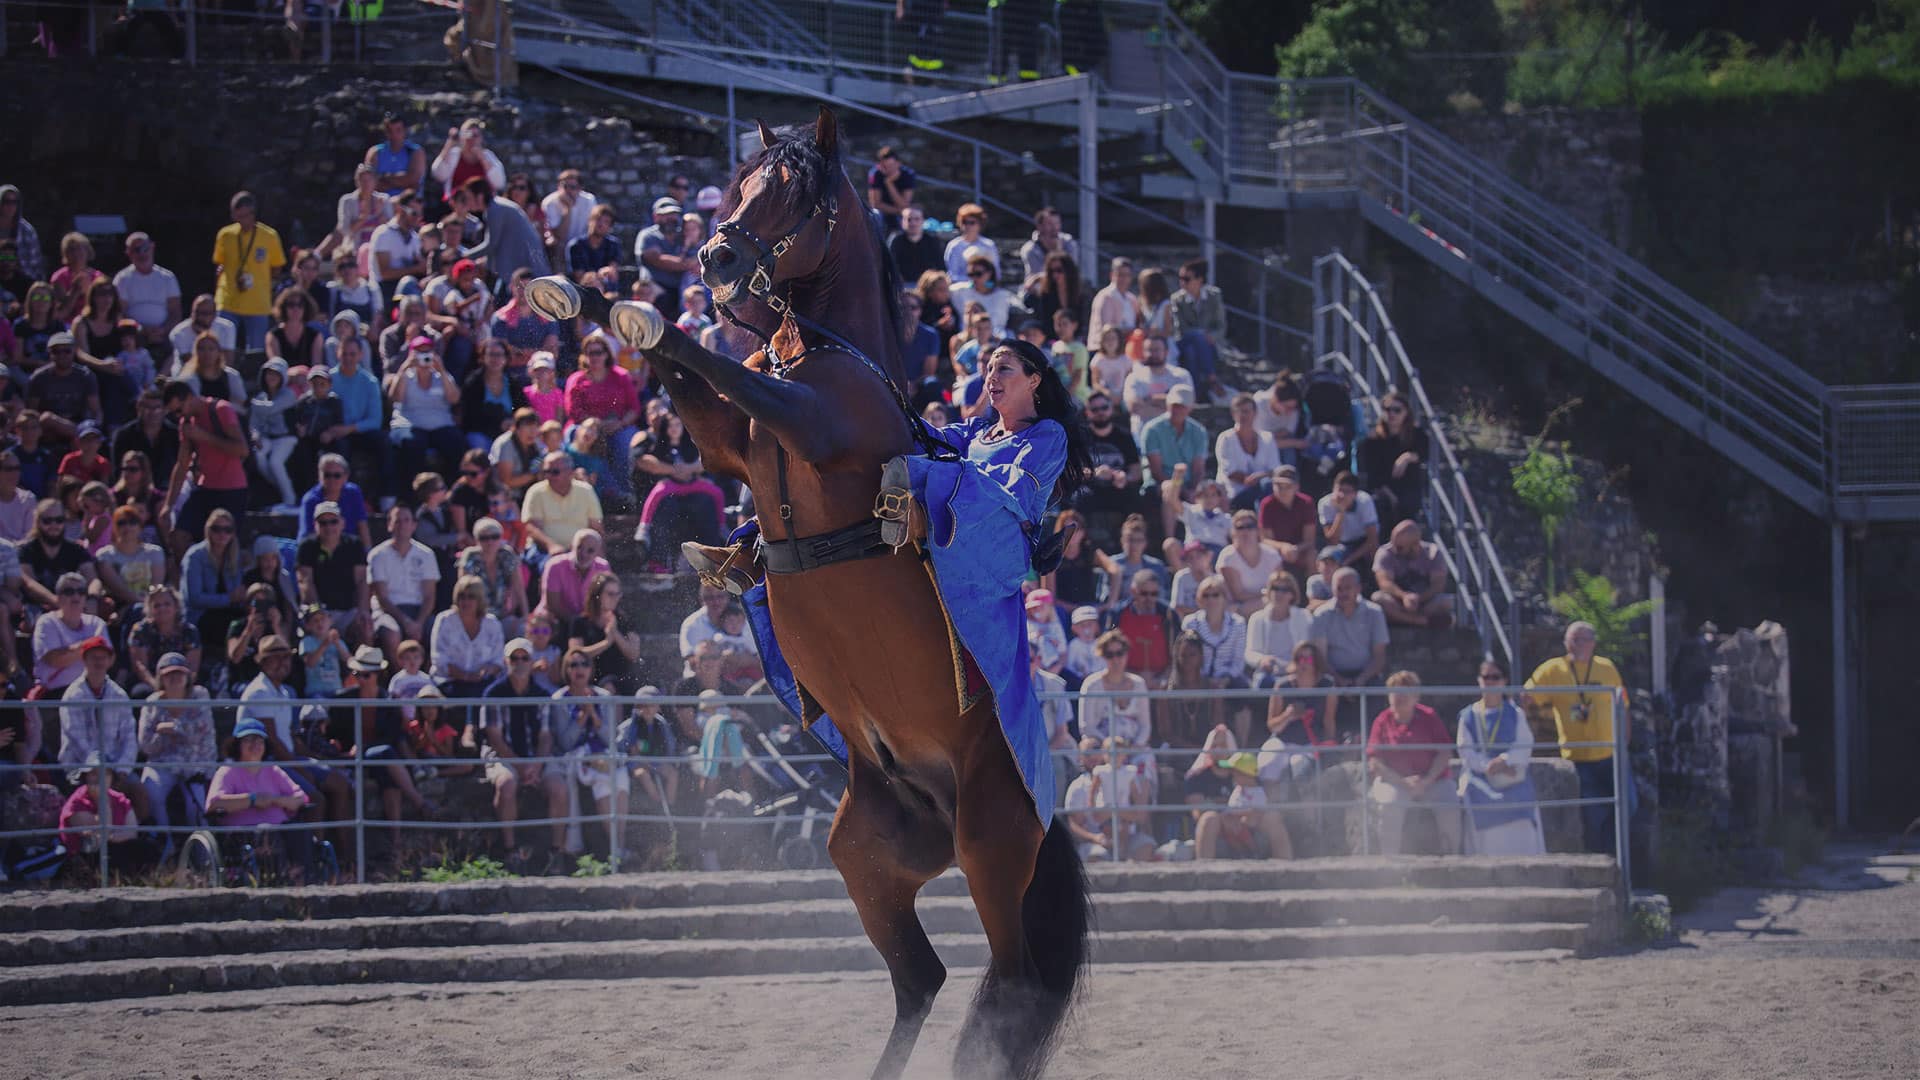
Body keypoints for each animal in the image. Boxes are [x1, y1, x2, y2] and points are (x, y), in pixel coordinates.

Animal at [533, 102, 1090, 1076]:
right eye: (744, 180)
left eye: (797, 191)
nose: (716, 256)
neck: (833, 359)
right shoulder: (730, 447)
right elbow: (698, 384)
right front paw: (595, 296)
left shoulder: (810, 424)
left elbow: (726, 368)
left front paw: (642, 312)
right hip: (868, 856)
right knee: (921, 979)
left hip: (990, 850)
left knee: (1010, 986)